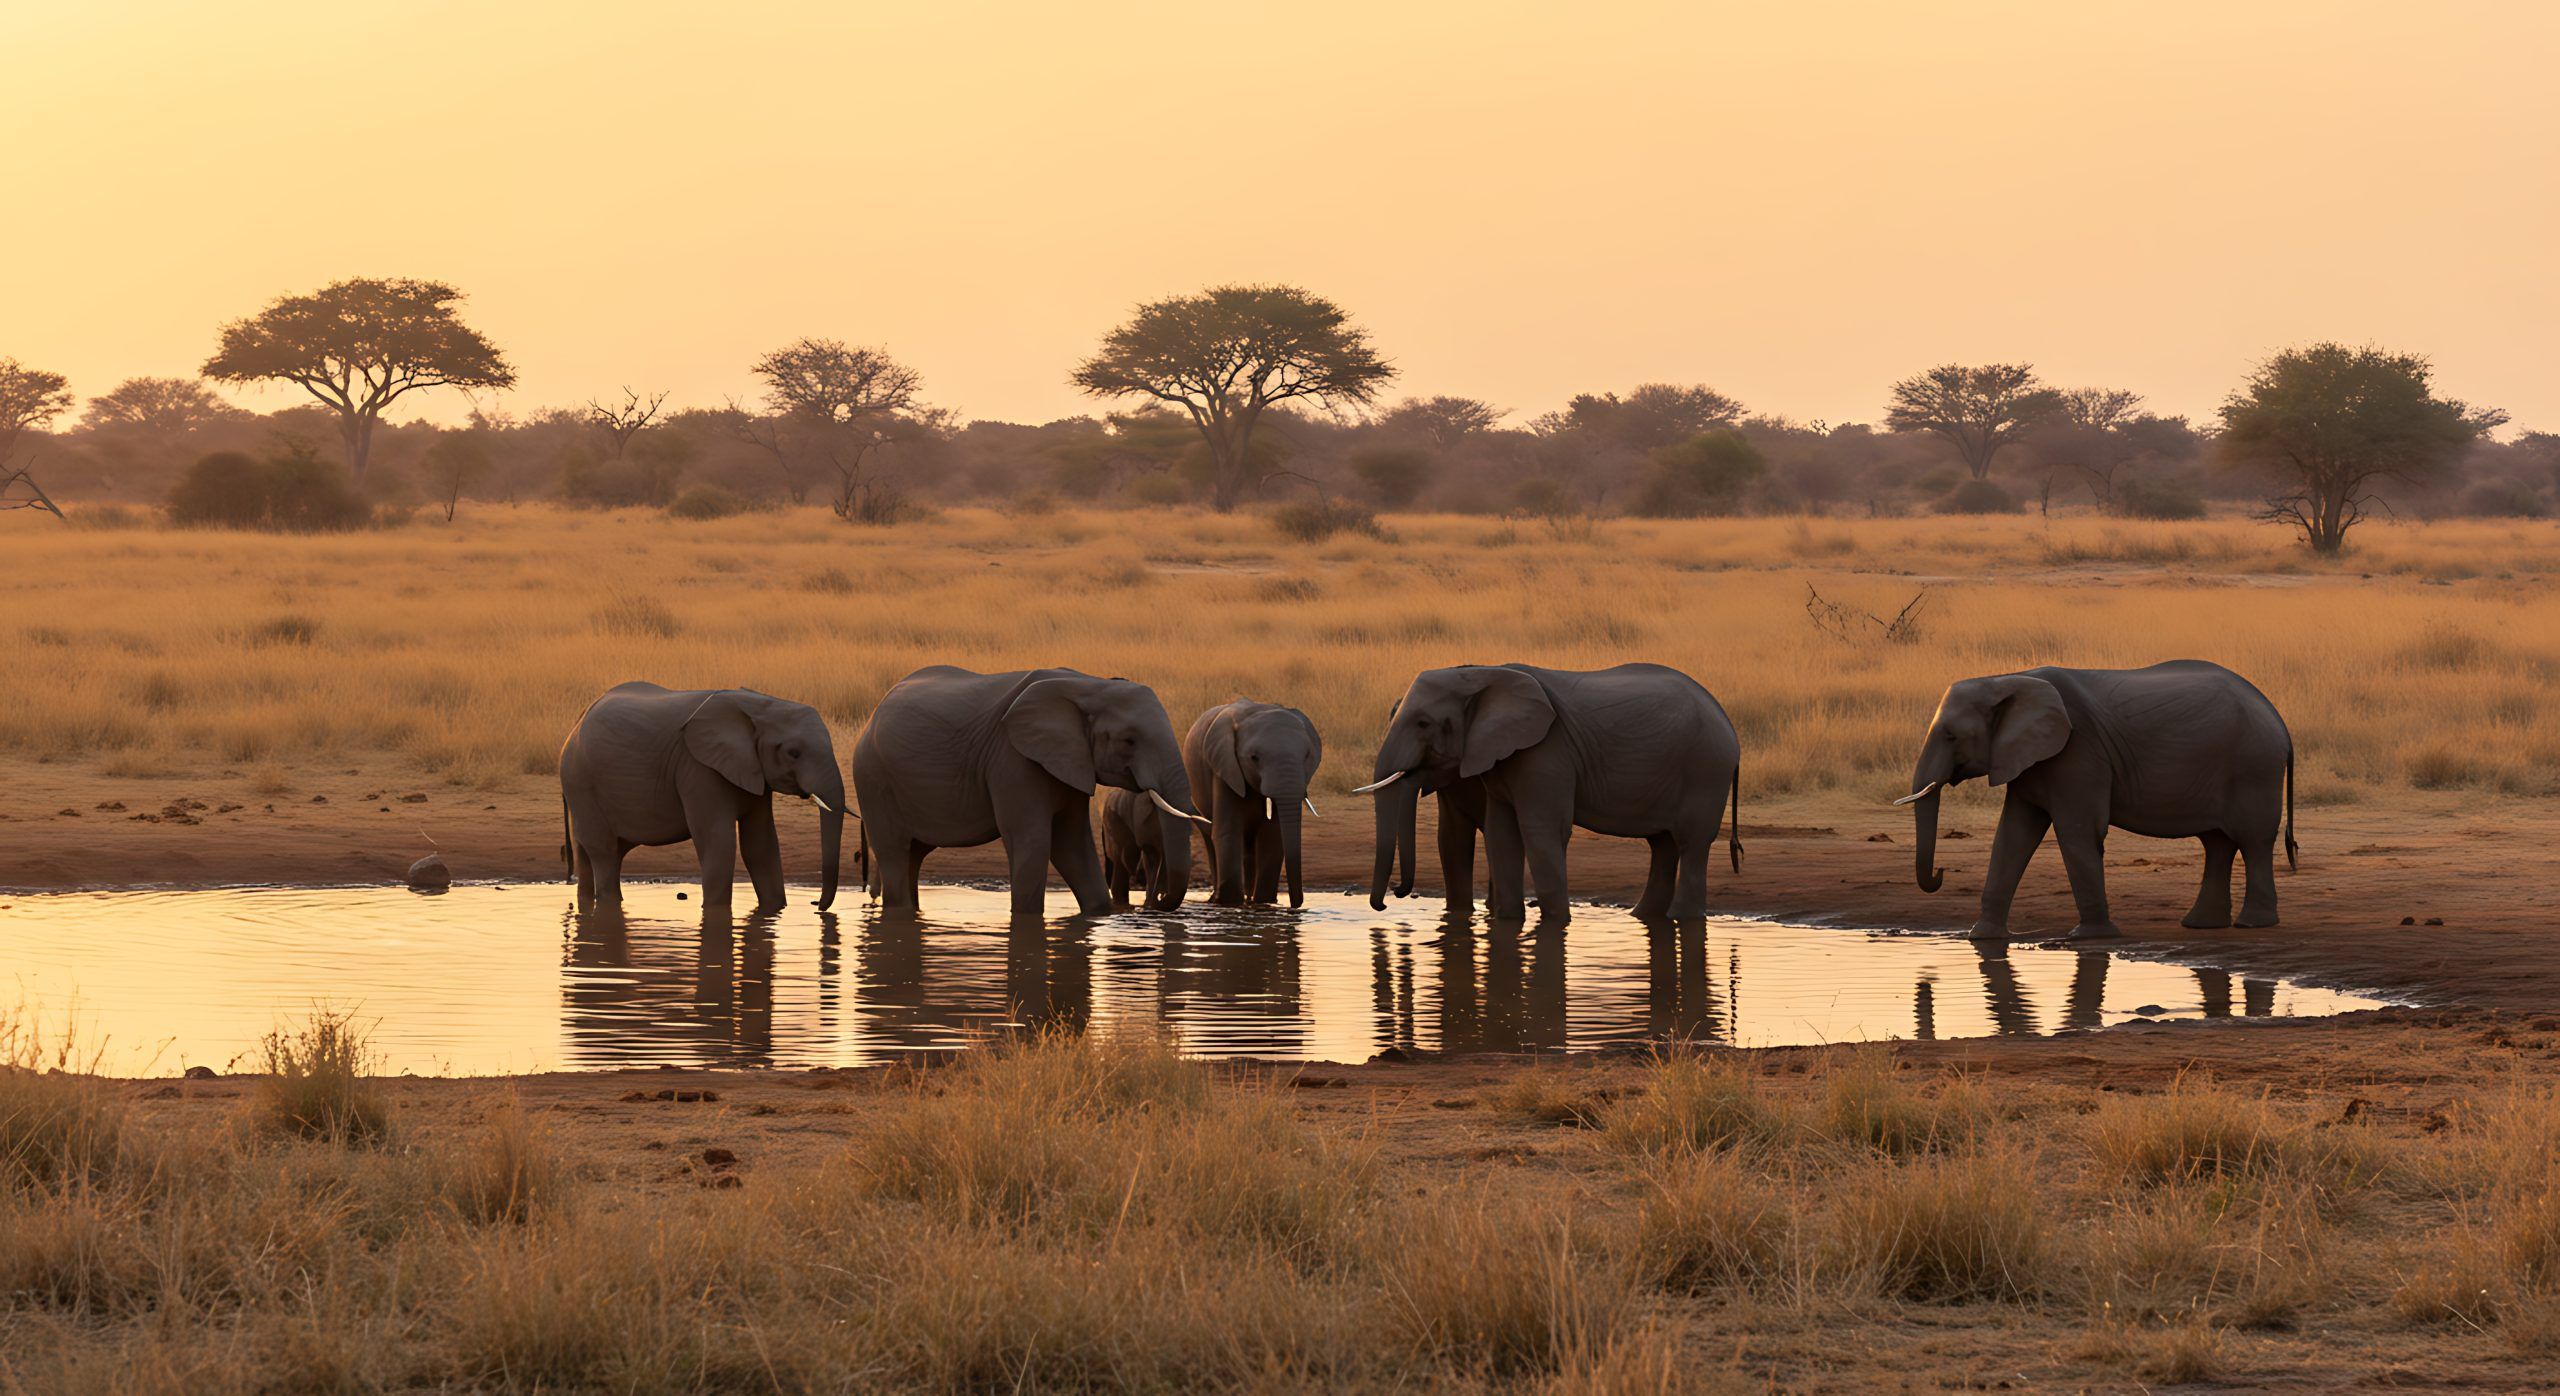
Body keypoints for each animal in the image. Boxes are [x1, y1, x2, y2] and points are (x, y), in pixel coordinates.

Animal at [558, 682, 846, 913]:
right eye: (793, 753)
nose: (818, 906)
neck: (761, 705)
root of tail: (575, 725)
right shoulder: (698, 767)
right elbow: (718, 841)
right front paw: (716, 913)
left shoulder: (754, 771)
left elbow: (761, 845)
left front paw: (775, 909)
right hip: (581, 782)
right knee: (603, 850)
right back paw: (609, 904)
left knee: (591, 852)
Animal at [852, 666, 1207, 916]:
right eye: (1129, 741)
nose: (1157, 900)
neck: (1089, 685)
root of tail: (874, 714)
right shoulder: (1013, 760)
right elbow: (1034, 841)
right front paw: (1026, 922)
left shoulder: (1071, 761)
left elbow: (1072, 845)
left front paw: (1098, 915)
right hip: (873, 779)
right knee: (895, 853)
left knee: (913, 855)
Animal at [1181, 698, 1324, 907]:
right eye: (1254, 758)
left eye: (1307, 756)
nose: (1295, 905)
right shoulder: (1225, 767)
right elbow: (1228, 832)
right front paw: (1229, 903)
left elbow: (1272, 837)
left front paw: (1264, 903)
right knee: (1210, 835)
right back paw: (1216, 899)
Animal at [1363, 663, 1743, 924]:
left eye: (1423, 723)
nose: (1392, 896)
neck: (1483, 673)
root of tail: (1728, 724)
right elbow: (1501, 835)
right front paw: (1507, 923)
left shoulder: (1545, 752)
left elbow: (1541, 831)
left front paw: (1557, 923)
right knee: (1663, 845)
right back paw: (1643, 917)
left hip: (1705, 769)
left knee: (1691, 843)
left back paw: (1682, 918)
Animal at [1898, 660, 2297, 942]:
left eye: (1951, 736)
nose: (1940, 872)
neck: (2009, 678)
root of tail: (2276, 715)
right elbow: (2013, 835)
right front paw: (1981, 938)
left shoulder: (2079, 751)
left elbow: (2077, 831)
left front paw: (2090, 937)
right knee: (2217, 843)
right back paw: (2201, 926)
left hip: (2254, 767)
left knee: (2253, 840)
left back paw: (2252, 925)